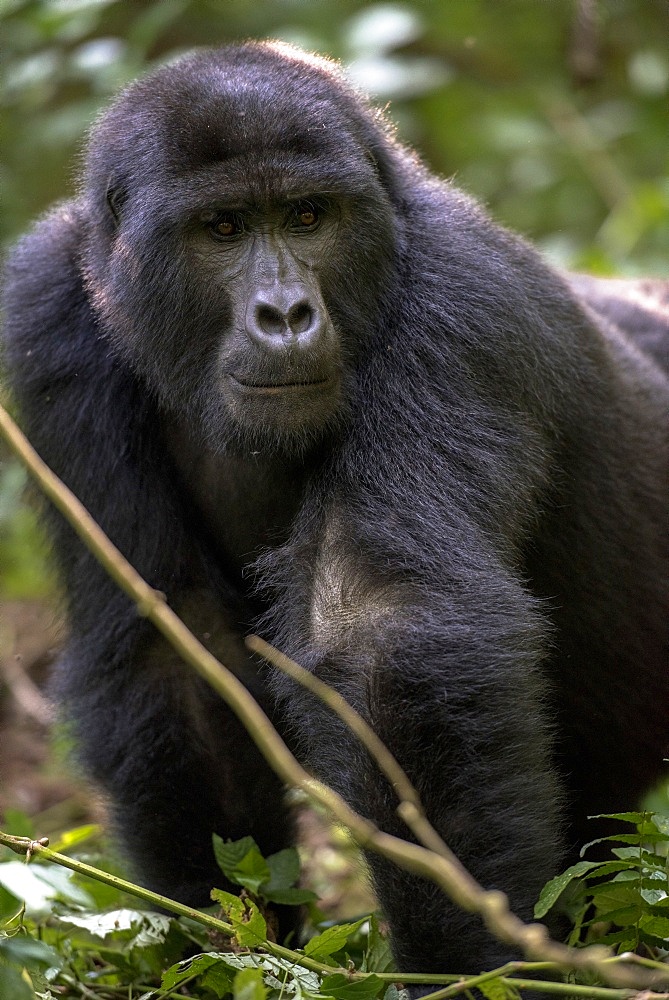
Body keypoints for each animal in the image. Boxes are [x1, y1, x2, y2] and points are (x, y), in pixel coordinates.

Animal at [2, 45, 664, 984]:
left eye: (308, 217)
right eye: (223, 229)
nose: (285, 315)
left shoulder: (460, 303)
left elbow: (388, 633)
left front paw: (465, 972)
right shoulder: (49, 315)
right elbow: (172, 646)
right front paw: (227, 950)